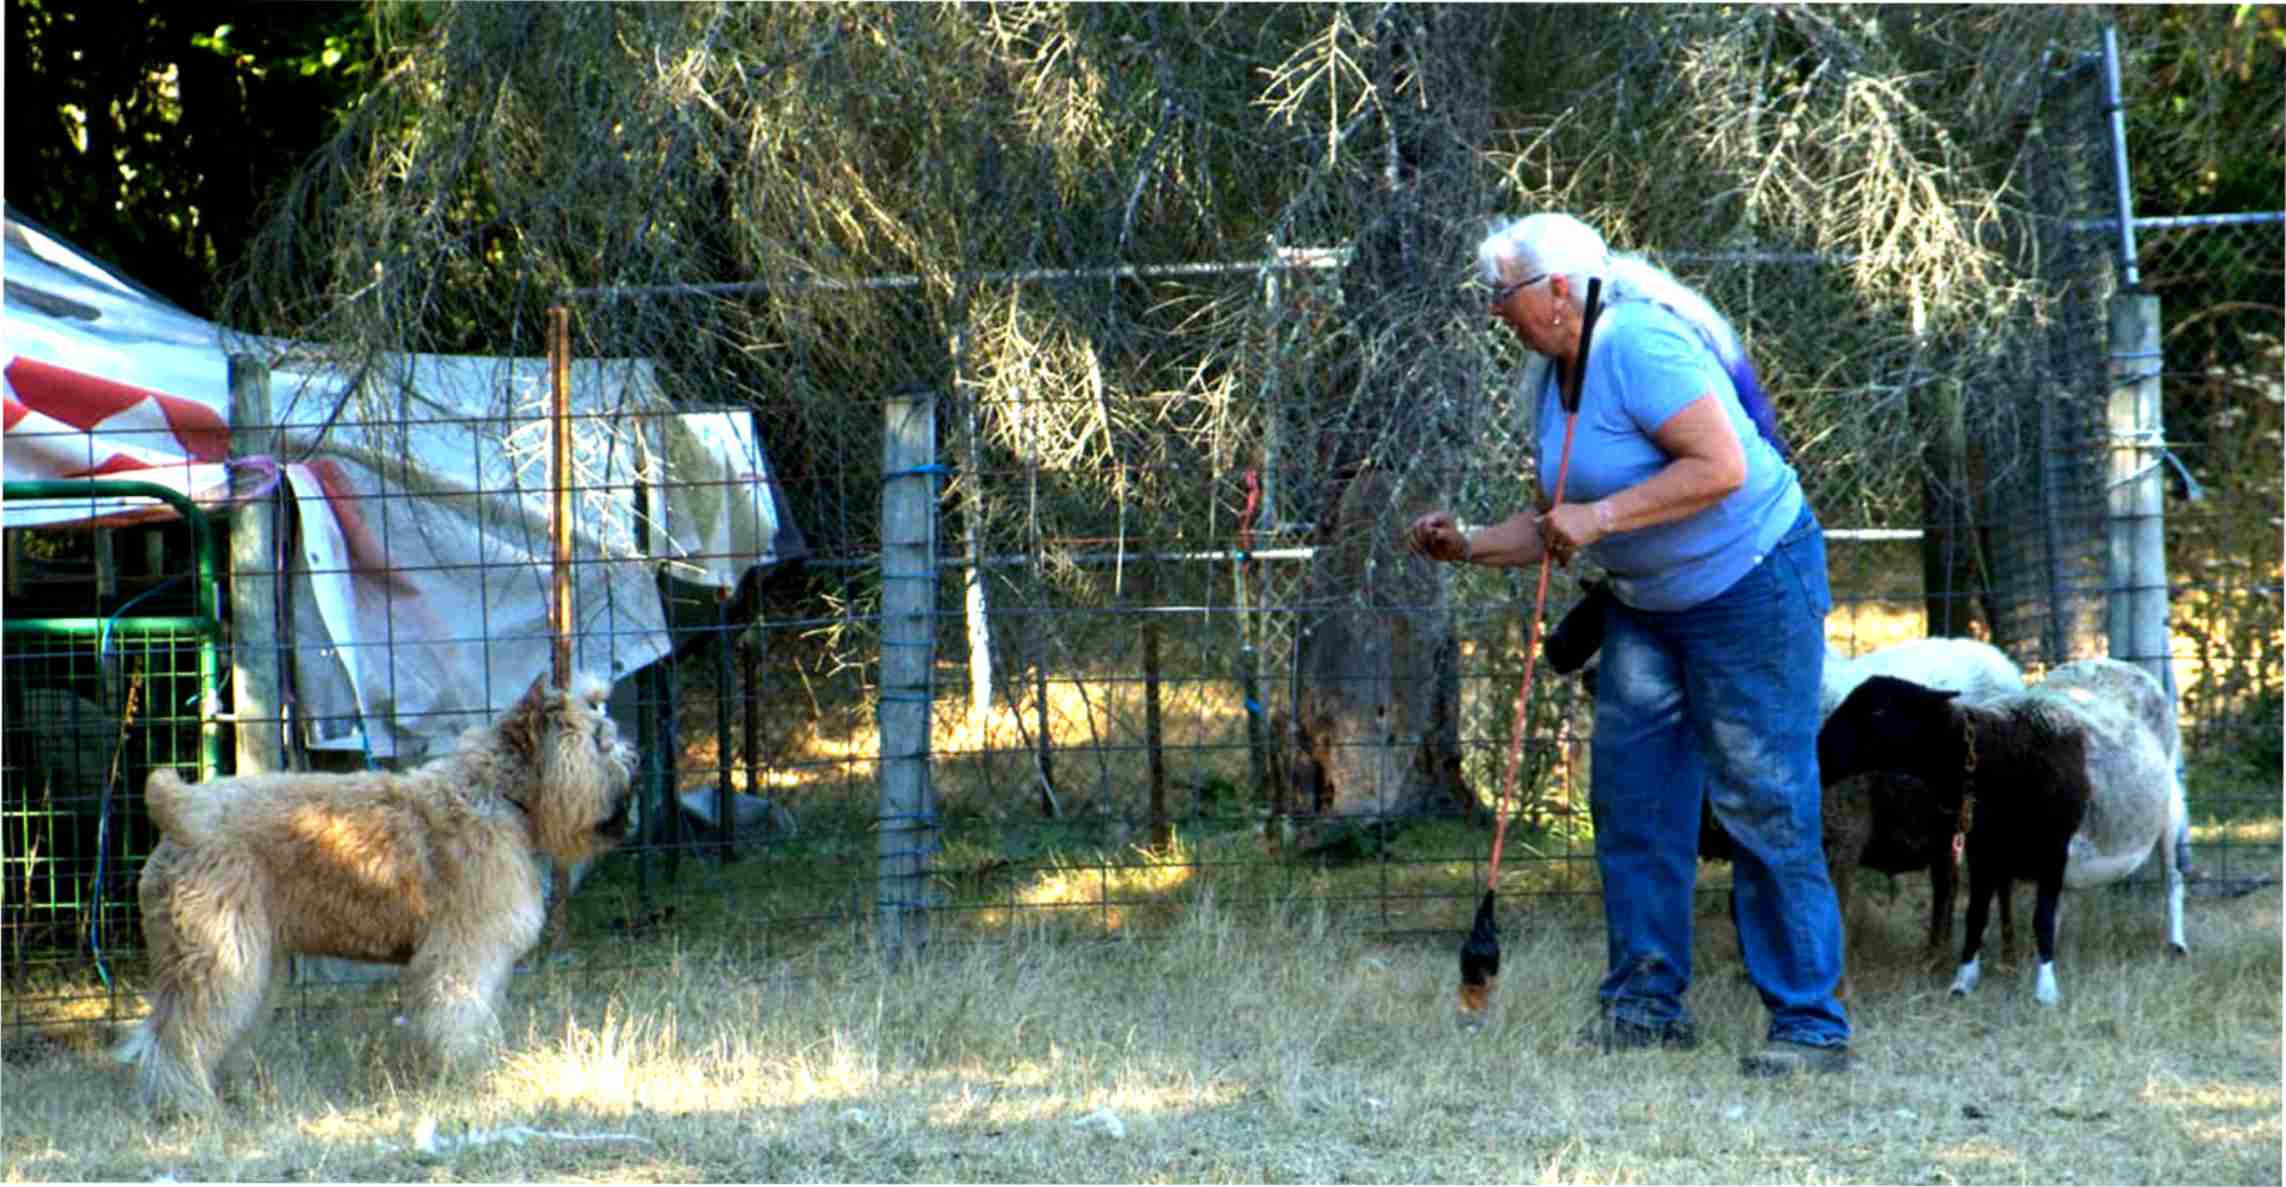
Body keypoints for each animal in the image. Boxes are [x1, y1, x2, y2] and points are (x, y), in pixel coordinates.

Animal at [116, 676, 635, 1116]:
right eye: (599, 740)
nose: (637, 759)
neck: (498, 792)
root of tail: (181, 811)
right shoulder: (465, 953)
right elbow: (459, 1013)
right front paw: (467, 1073)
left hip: (255, 965)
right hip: (220, 958)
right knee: (177, 1035)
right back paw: (186, 1104)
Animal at [1819, 663, 2176, 1006]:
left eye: (1878, 712)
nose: (1819, 753)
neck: (1997, 754)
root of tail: (2116, 664)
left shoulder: (2054, 848)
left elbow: (2040, 920)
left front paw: (2045, 991)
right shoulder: (1982, 849)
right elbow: (1976, 915)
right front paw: (1962, 983)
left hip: (2171, 805)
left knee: (2171, 875)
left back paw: (2176, 943)